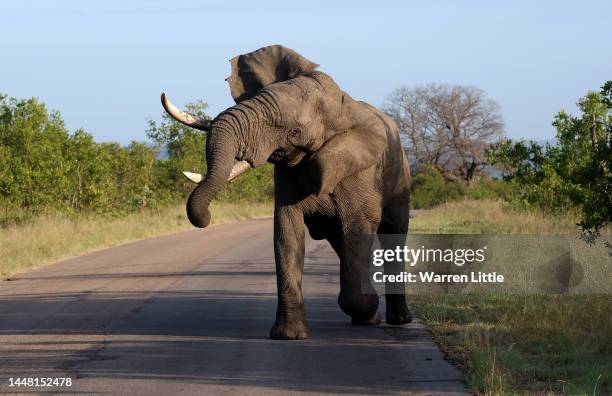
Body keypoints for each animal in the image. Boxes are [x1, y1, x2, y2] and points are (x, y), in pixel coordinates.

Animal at [161, 44, 412, 338]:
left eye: (294, 132)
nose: (208, 218)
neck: (342, 107)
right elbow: (287, 236)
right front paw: (288, 336)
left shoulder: (360, 173)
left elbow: (358, 228)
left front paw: (367, 306)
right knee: (338, 241)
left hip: (400, 176)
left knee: (392, 234)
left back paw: (397, 319)